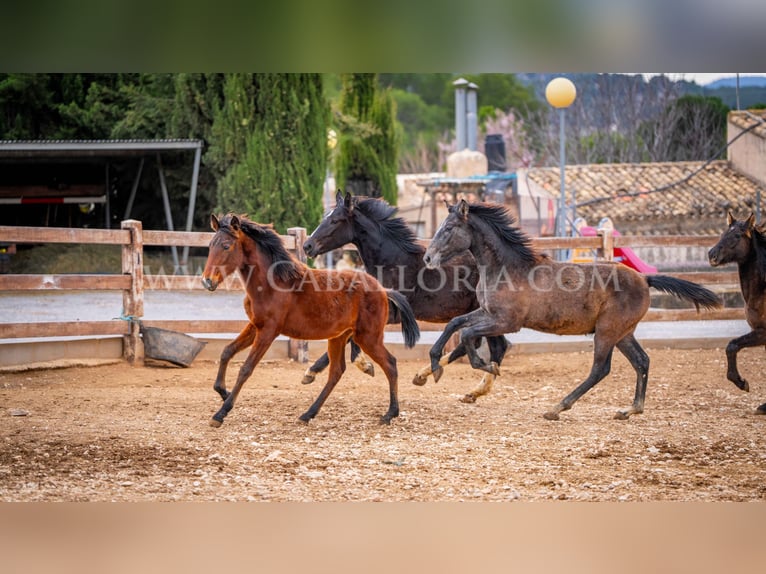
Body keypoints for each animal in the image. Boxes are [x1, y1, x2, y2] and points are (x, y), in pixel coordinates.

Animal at [201, 215, 424, 428]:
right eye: (210, 245)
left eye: (226, 246)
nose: (207, 281)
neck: (272, 284)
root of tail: (384, 290)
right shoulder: (255, 325)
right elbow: (227, 351)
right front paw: (223, 392)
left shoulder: (269, 331)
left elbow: (246, 368)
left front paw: (220, 413)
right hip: (339, 337)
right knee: (336, 372)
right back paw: (308, 414)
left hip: (368, 337)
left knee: (390, 364)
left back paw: (390, 414)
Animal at [304, 194, 512, 404]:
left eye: (335, 220)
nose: (308, 246)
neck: (393, 263)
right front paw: (315, 371)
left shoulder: (390, 314)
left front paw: (354, 366)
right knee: (487, 344)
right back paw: (440, 380)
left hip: (490, 314)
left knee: (496, 346)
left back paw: (466, 386)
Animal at [424, 202, 724, 424]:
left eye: (449, 228)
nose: (427, 258)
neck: (506, 269)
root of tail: (644, 279)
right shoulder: (487, 313)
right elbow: (455, 324)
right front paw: (435, 367)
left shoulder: (506, 321)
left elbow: (466, 334)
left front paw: (488, 366)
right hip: (623, 333)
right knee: (642, 361)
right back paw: (630, 410)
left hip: (606, 331)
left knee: (600, 369)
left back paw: (557, 407)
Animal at [708, 212, 766, 414]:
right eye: (724, 233)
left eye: (737, 235)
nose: (712, 255)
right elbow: (731, 346)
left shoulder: (763, 333)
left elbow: (732, 345)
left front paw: (742, 382)